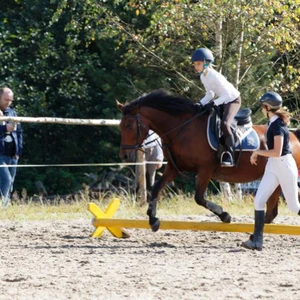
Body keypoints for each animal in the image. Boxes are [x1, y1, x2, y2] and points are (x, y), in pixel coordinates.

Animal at [116, 90, 300, 231]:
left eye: (130, 127)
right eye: (120, 127)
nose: (124, 156)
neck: (182, 129)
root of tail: (293, 135)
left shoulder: (205, 169)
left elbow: (199, 197)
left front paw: (225, 215)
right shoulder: (174, 168)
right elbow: (155, 189)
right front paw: (153, 220)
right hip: (274, 178)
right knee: (272, 210)